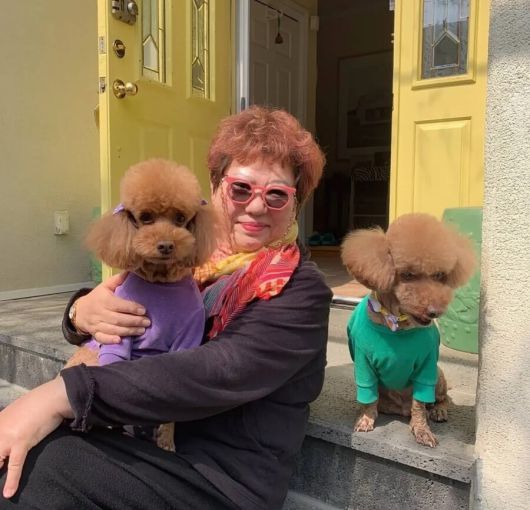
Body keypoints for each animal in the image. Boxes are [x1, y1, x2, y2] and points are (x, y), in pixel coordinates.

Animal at [64, 158, 217, 450]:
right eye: (145, 217)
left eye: (180, 219)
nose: (166, 245)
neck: (161, 283)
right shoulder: (119, 337)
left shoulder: (185, 343)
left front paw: (166, 442)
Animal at [341, 213, 476, 447]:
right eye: (408, 274)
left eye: (439, 275)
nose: (435, 311)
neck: (397, 323)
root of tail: (400, 410)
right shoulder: (363, 363)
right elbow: (368, 398)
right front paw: (365, 418)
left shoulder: (427, 365)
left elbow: (419, 406)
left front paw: (422, 430)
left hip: (438, 375)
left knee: (442, 399)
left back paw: (438, 411)